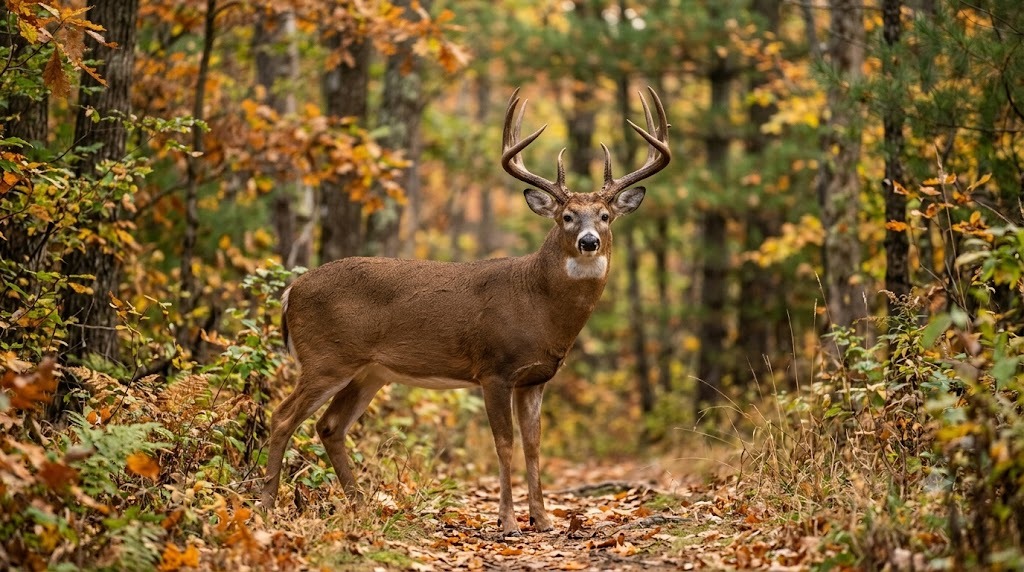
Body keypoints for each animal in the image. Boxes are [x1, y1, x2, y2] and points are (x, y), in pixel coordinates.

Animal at [261, 87, 670, 536]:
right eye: (566, 216)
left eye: (605, 215)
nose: (589, 241)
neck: (538, 306)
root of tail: (291, 290)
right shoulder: (494, 368)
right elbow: (504, 443)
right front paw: (508, 522)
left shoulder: (535, 379)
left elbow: (533, 443)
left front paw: (543, 520)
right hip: (326, 357)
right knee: (281, 417)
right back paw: (264, 503)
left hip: (368, 372)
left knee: (330, 427)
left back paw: (361, 506)